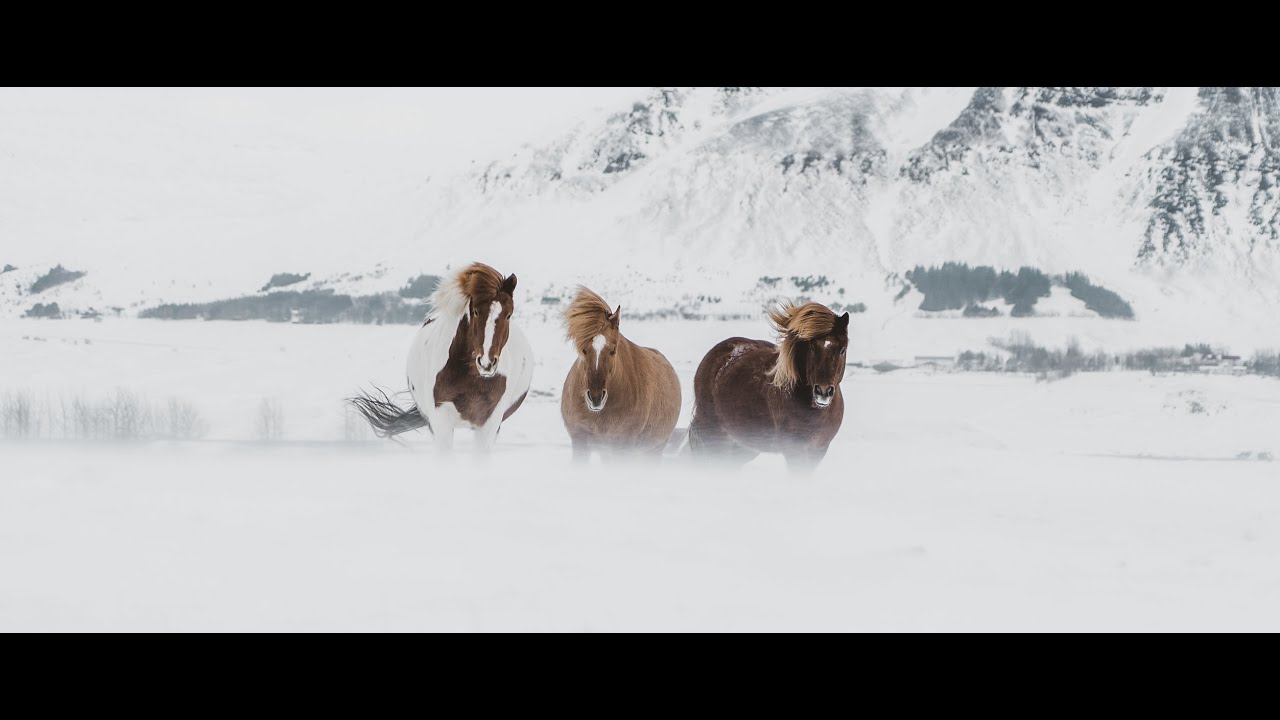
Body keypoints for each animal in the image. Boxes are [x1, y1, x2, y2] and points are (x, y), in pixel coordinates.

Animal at [349, 262, 534, 452]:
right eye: (475, 311)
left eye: (508, 314)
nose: (486, 363)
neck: (472, 379)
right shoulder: (440, 422)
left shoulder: (489, 424)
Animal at [560, 287, 681, 461]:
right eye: (583, 349)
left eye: (613, 349)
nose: (595, 398)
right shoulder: (580, 442)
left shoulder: (622, 447)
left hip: (654, 450)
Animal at [688, 301, 849, 473]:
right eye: (812, 347)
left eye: (842, 349)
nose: (823, 392)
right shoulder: (794, 450)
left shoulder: (818, 450)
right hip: (716, 436)